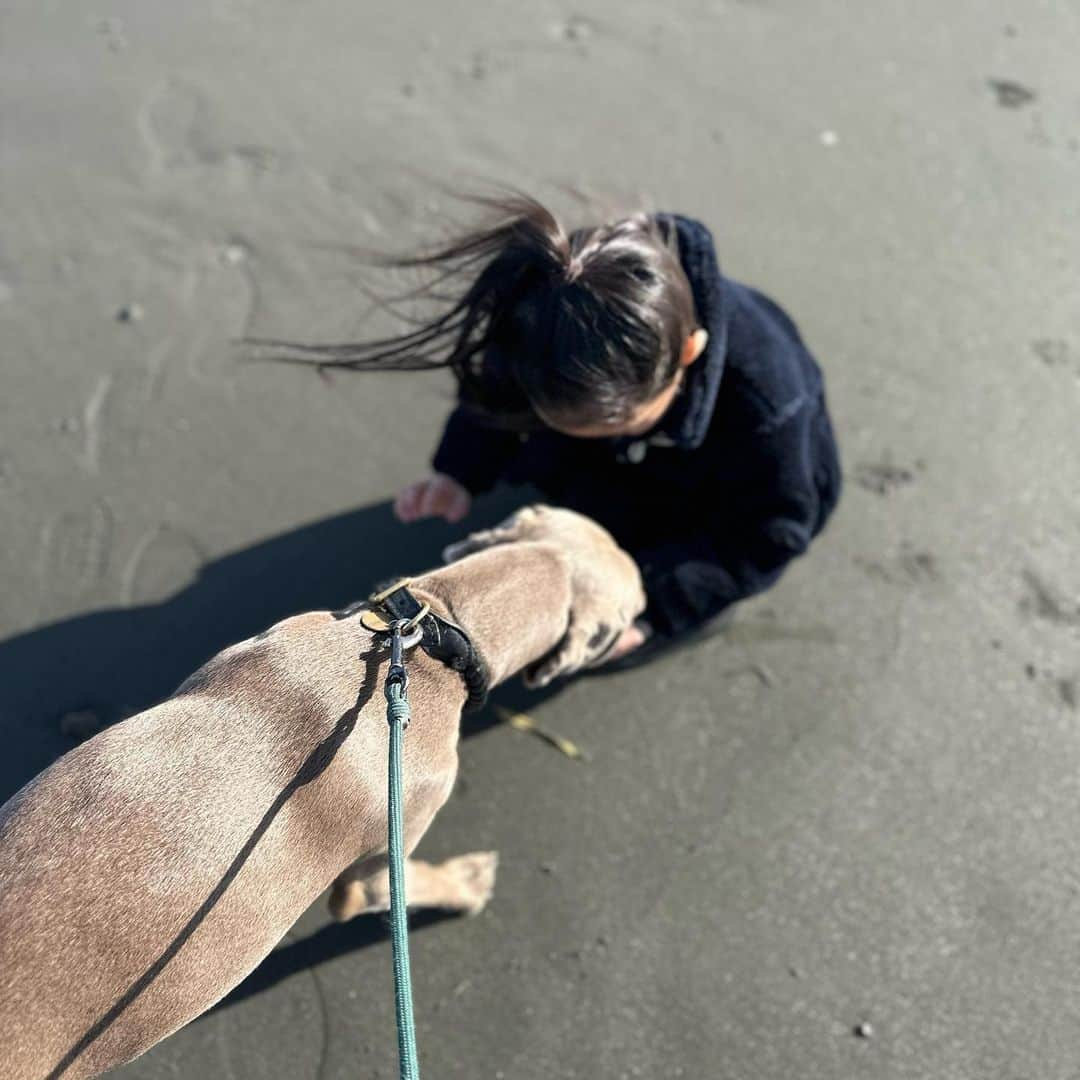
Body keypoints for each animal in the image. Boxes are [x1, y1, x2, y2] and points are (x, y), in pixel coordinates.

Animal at [0, 507, 639, 1080]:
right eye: (637, 603)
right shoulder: (388, 852)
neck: (436, 632)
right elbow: (401, 886)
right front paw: (467, 884)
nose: (650, 620)